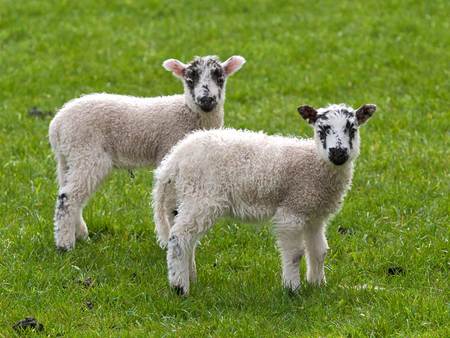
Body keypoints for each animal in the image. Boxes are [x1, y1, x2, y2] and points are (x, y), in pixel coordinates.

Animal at [49, 54, 246, 251]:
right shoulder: (170, 156)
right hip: (87, 152)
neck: (189, 113)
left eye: (220, 78)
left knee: (68, 191)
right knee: (68, 197)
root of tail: (56, 125)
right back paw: (65, 245)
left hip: (70, 157)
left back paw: (80, 234)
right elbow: (171, 206)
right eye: (190, 79)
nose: (206, 100)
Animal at [153, 101, 374, 294]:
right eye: (322, 130)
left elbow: (319, 251)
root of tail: (174, 158)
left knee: (186, 240)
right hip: (202, 197)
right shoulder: (291, 210)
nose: (338, 154)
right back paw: (180, 288)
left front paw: (318, 285)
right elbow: (295, 254)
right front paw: (292, 289)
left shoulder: (314, 213)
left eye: (352, 129)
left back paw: (190, 276)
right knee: (179, 238)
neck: (314, 163)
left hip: (182, 198)